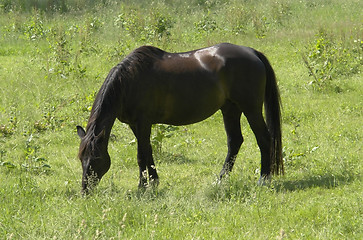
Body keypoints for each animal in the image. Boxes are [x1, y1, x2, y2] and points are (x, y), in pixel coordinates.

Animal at [75, 42, 282, 193]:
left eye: (96, 157)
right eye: (81, 158)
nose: (85, 190)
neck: (128, 81)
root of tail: (252, 52)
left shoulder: (143, 122)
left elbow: (141, 154)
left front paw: (142, 186)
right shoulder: (136, 125)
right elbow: (148, 150)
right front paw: (154, 181)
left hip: (251, 108)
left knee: (264, 139)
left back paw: (264, 179)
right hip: (230, 109)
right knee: (235, 141)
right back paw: (221, 179)